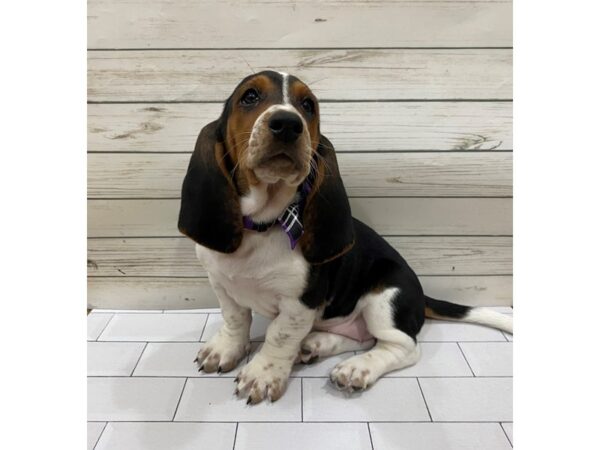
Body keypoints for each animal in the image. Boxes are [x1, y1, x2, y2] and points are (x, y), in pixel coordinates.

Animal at [176, 71, 512, 404]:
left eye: (308, 105)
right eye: (249, 97)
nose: (288, 124)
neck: (263, 224)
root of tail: (420, 294)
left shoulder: (301, 303)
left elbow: (279, 335)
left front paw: (262, 374)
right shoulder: (222, 285)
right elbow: (235, 319)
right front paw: (225, 349)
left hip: (385, 298)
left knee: (403, 346)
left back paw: (355, 369)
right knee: (361, 337)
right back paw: (315, 344)